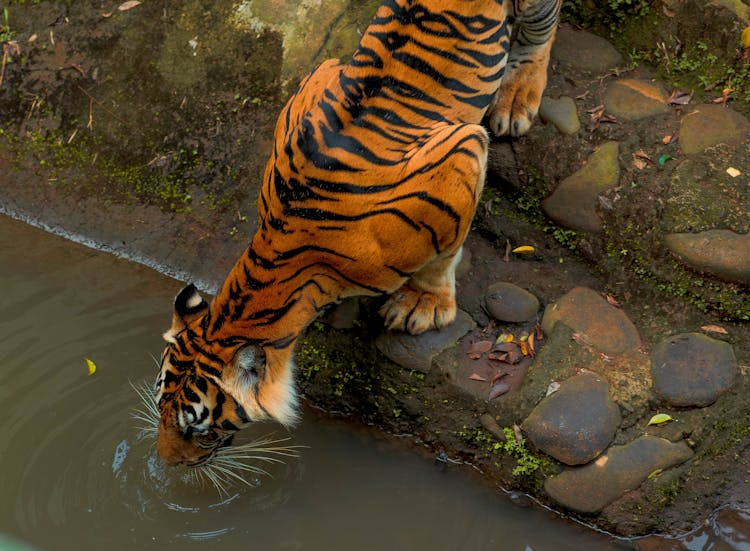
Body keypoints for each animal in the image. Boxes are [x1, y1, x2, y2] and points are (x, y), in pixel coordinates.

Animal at [156, 0, 560, 468]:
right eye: (160, 405)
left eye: (199, 429)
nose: (165, 463)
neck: (278, 251)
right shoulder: (318, 81)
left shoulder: (459, 158)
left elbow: (443, 255)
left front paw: (423, 305)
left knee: (539, 34)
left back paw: (515, 99)